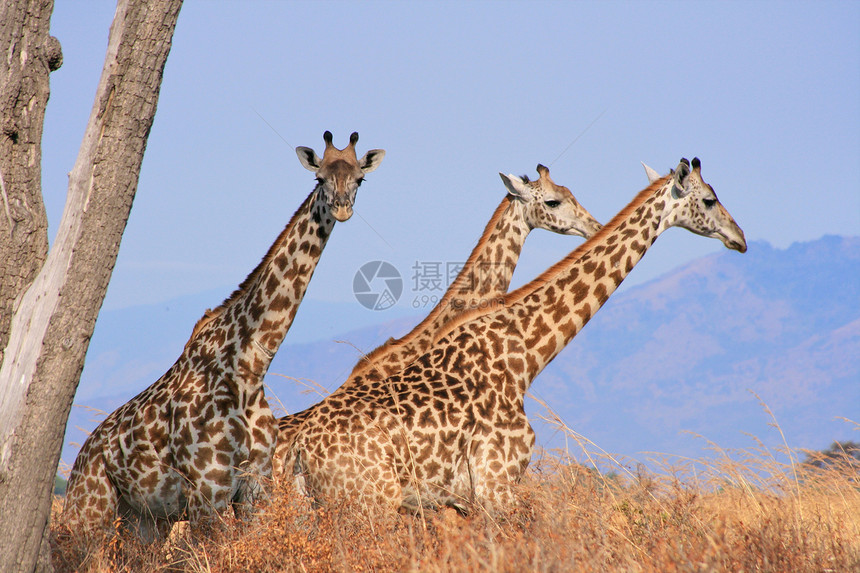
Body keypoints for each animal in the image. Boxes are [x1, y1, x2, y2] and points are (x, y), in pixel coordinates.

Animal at [64, 132, 386, 540]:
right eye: (320, 178)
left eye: (360, 178)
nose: (342, 209)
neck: (249, 365)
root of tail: (82, 455)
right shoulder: (208, 490)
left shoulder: (255, 487)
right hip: (90, 511)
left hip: (144, 520)